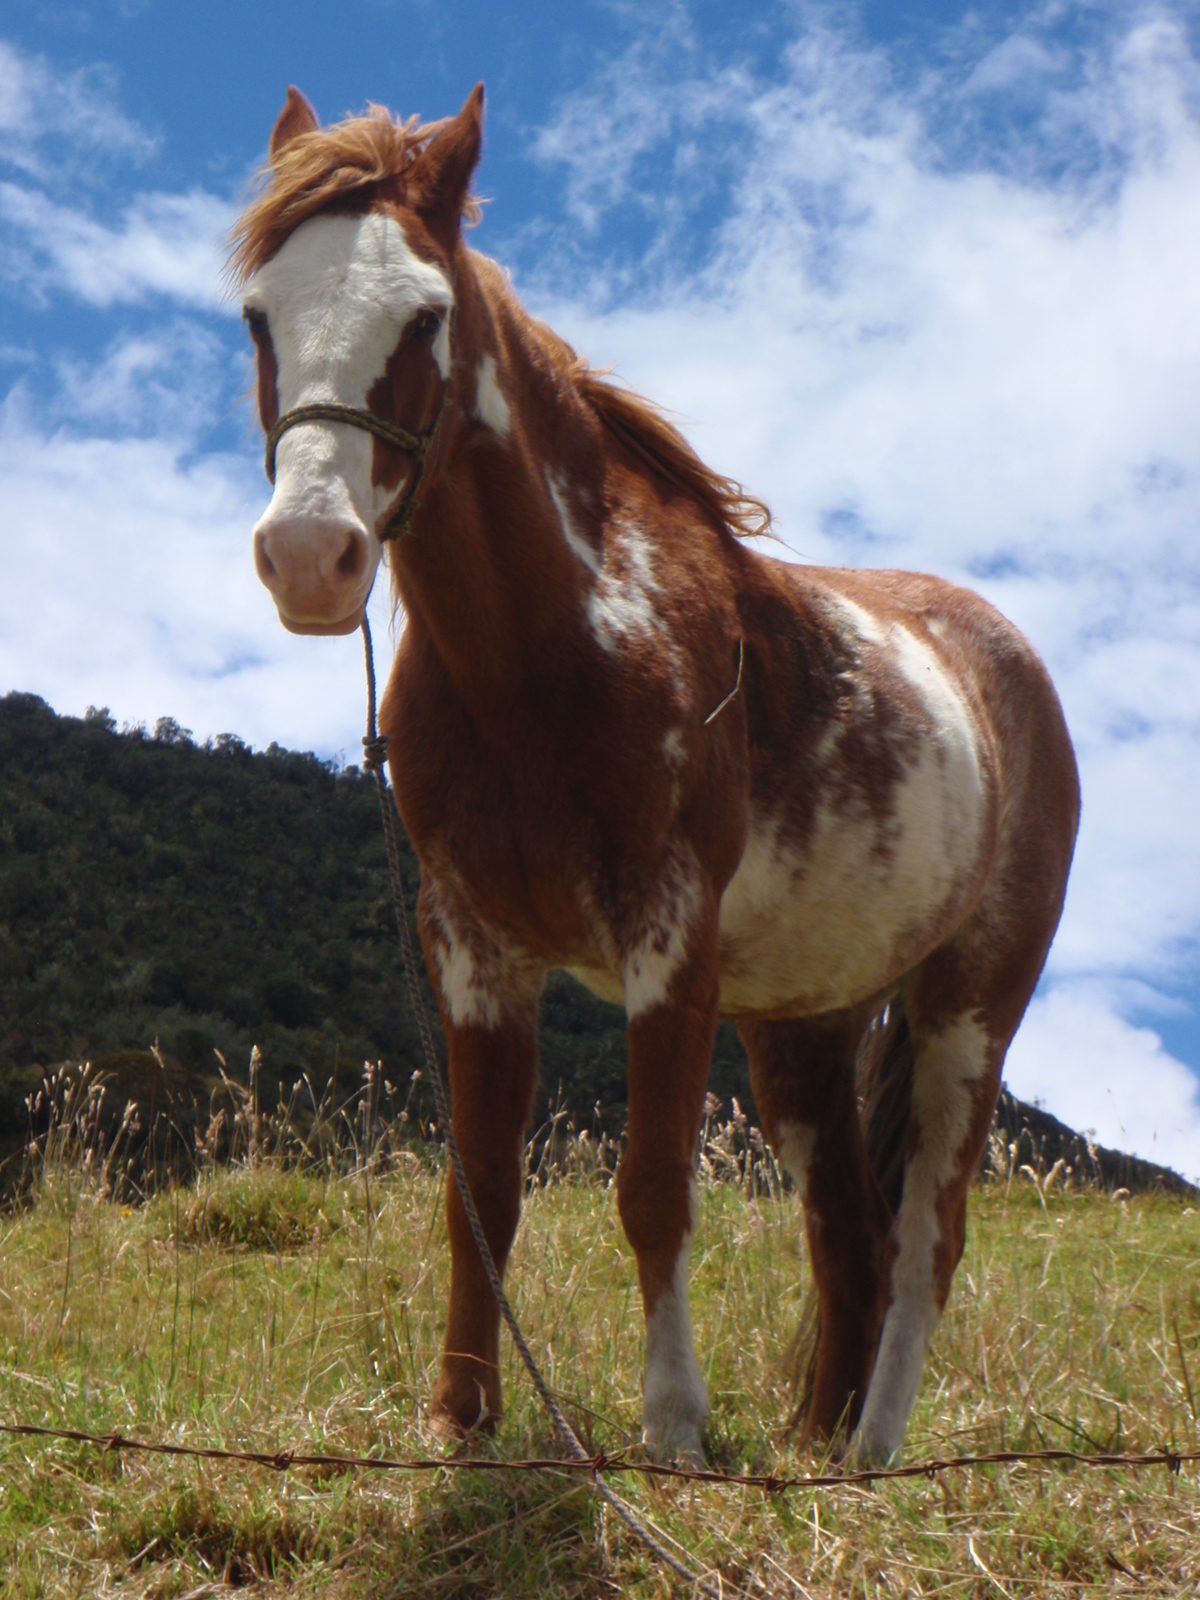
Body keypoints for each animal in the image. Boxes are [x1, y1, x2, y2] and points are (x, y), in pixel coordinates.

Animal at [230, 85, 1079, 1465]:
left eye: (424, 316)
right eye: (261, 314)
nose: (311, 557)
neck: (553, 651)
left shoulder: (666, 936)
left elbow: (654, 1188)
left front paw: (673, 1426)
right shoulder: (473, 947)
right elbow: (481, 1189)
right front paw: (464, 1413)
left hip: (970, 1006)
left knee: (925, 1239)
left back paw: (869, 1454)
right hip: (802, 1030)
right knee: (848, 1236)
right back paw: (811, 1447)